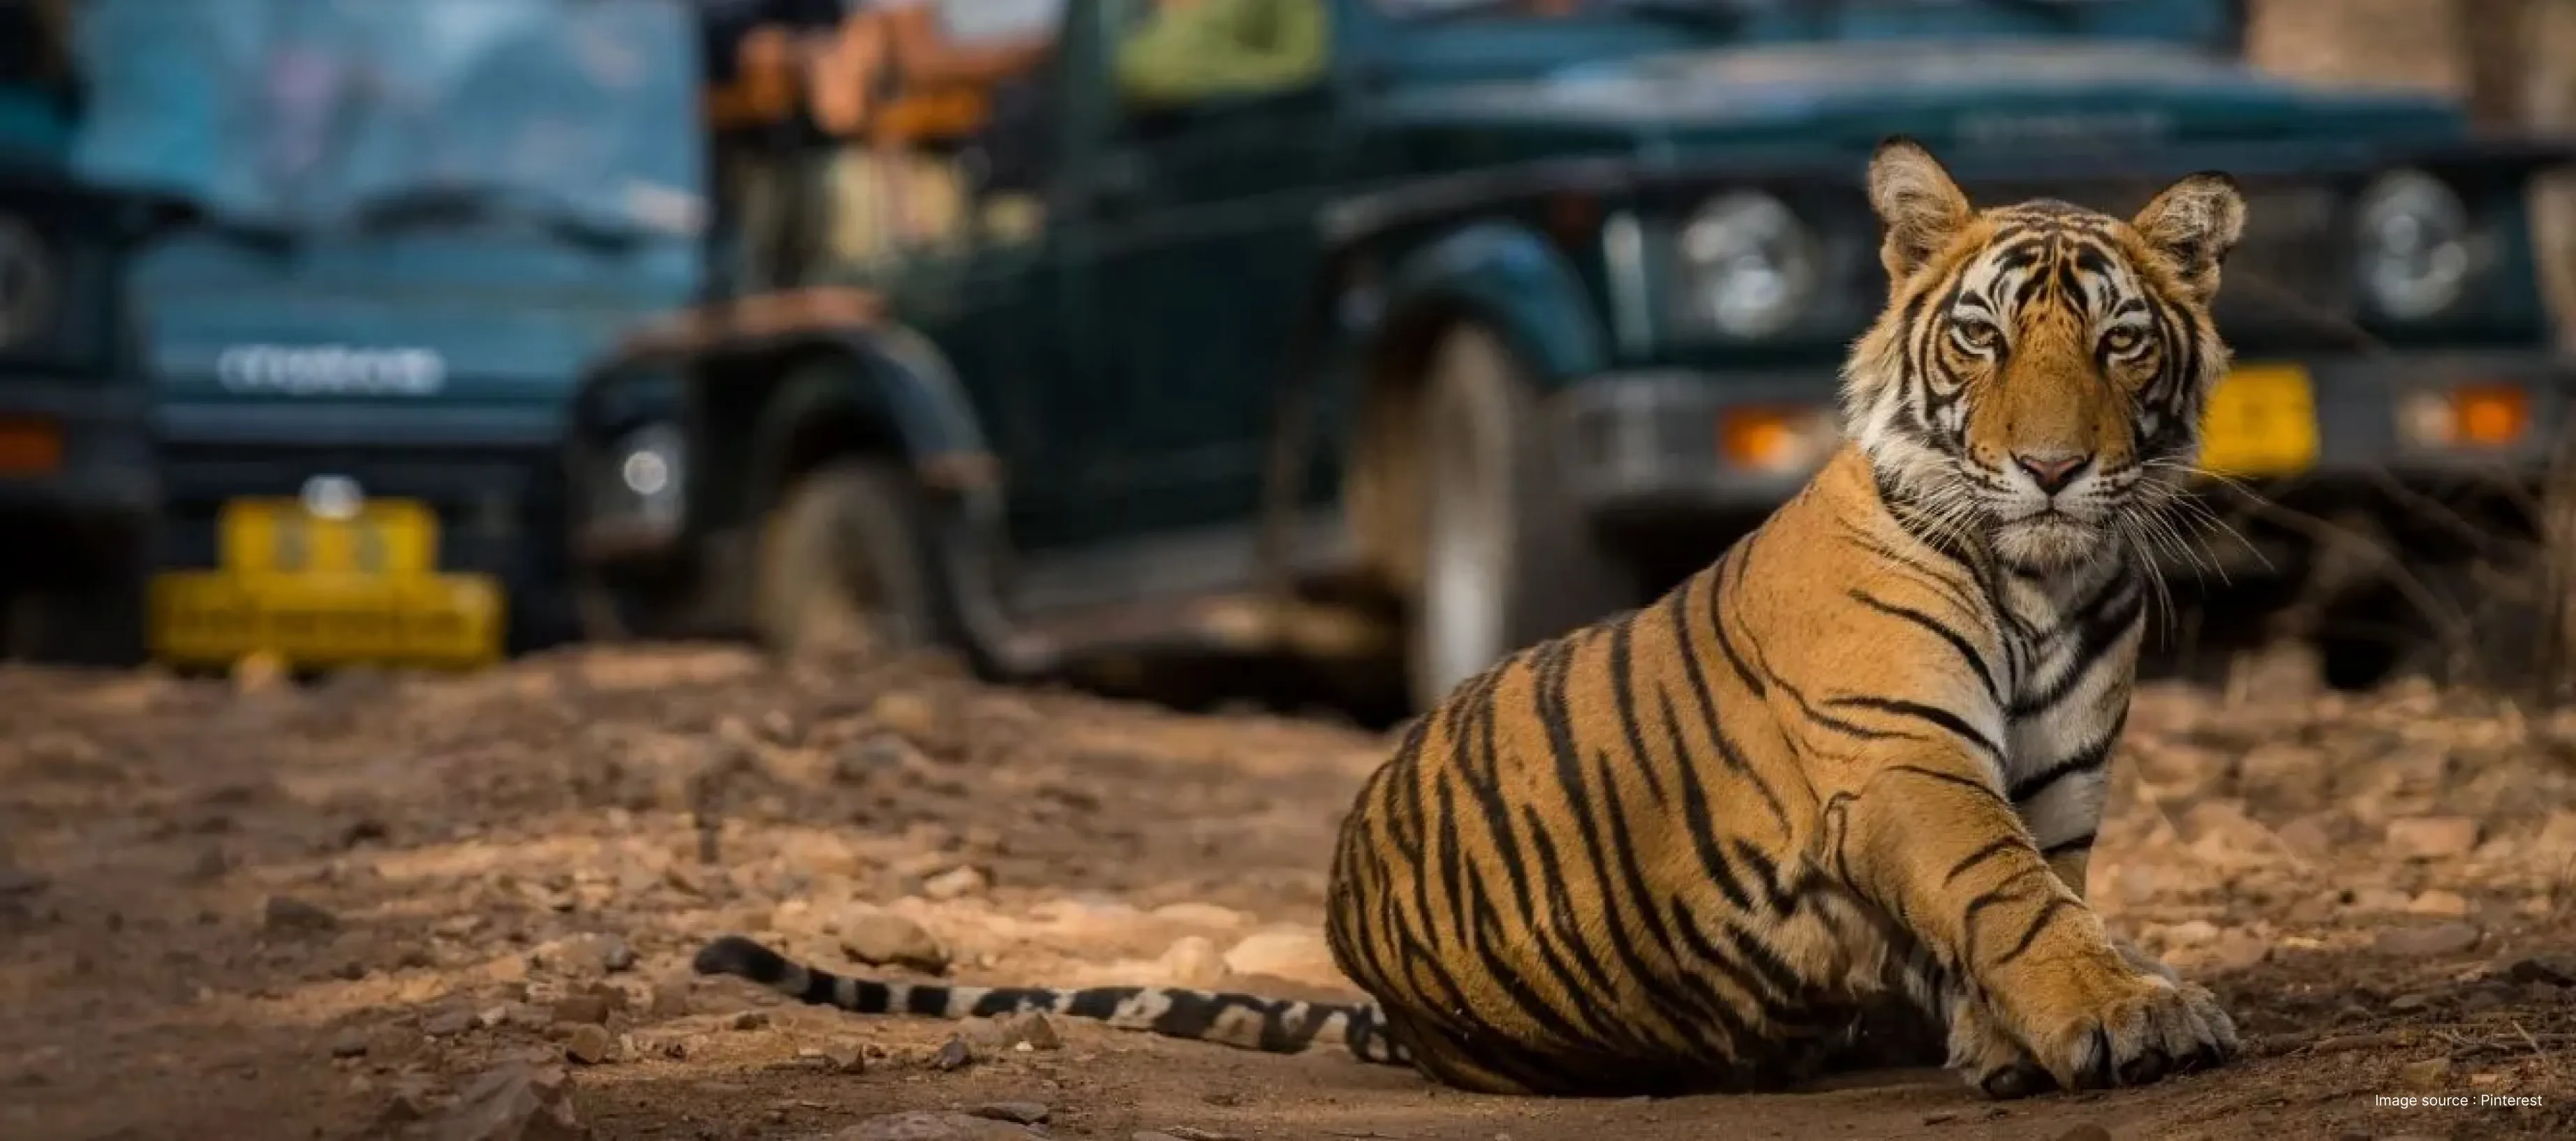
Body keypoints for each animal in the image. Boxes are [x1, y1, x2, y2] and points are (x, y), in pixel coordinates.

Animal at [691, 135, 2248, 1100]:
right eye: (1980, 337)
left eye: (2120, 340)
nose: (2052, 468)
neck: (2049, 578)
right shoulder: (1902, 760)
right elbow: (2014, 899)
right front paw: (2129, 1016)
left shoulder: (2057, 782)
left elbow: (2043, 898)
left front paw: (2026, 1033)